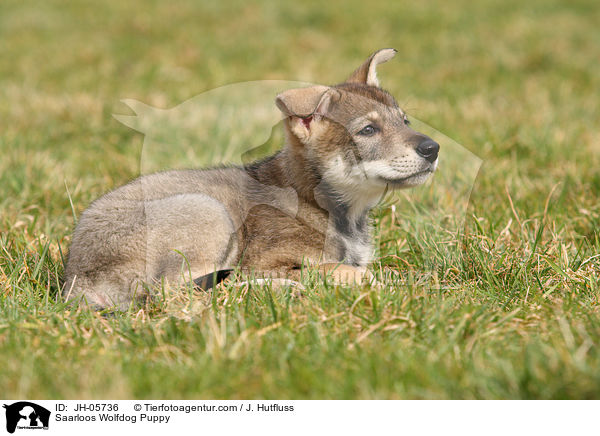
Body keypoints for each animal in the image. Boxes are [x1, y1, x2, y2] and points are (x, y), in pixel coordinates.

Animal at [64, 47, 440, 308]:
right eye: (368, 130)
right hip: (207, 212)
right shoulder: (265, 260)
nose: (433, 148)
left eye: (404, 121)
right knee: (178, 294)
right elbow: (343, 270)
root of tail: (75, 283)